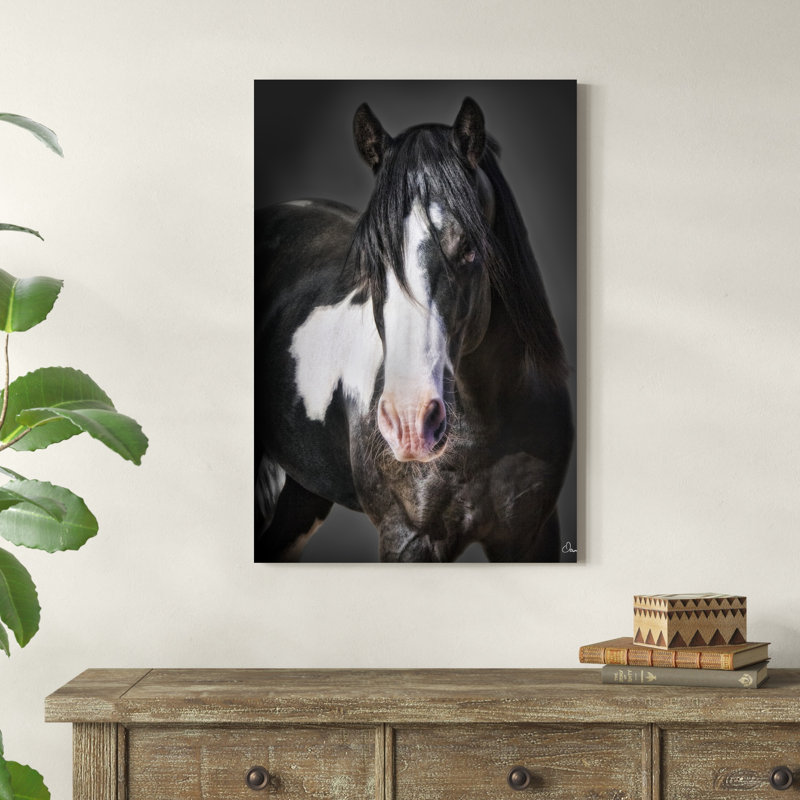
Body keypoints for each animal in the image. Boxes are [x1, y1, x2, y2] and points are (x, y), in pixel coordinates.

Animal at [255, 97, 574, 562]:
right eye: (371, 255)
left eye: (469, 248)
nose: (410, 422)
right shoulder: (409, 539)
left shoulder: (532, 537)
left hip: (301, 494)